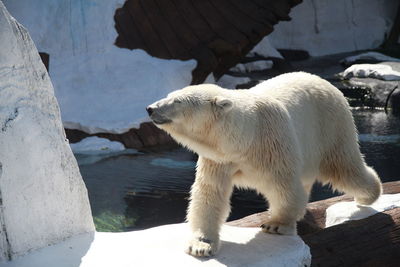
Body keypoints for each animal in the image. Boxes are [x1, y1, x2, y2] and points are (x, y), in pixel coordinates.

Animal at [146, 72, 382, 258]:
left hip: (330, 127)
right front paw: (201, 245)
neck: (245, 140)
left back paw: (369, 194)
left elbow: (283, 186)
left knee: (344, 167)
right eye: (169, 96)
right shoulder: (219, 158)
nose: (150, 108)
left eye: (177, 101)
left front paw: (276, 224)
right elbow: (210, 192)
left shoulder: (272, 145)